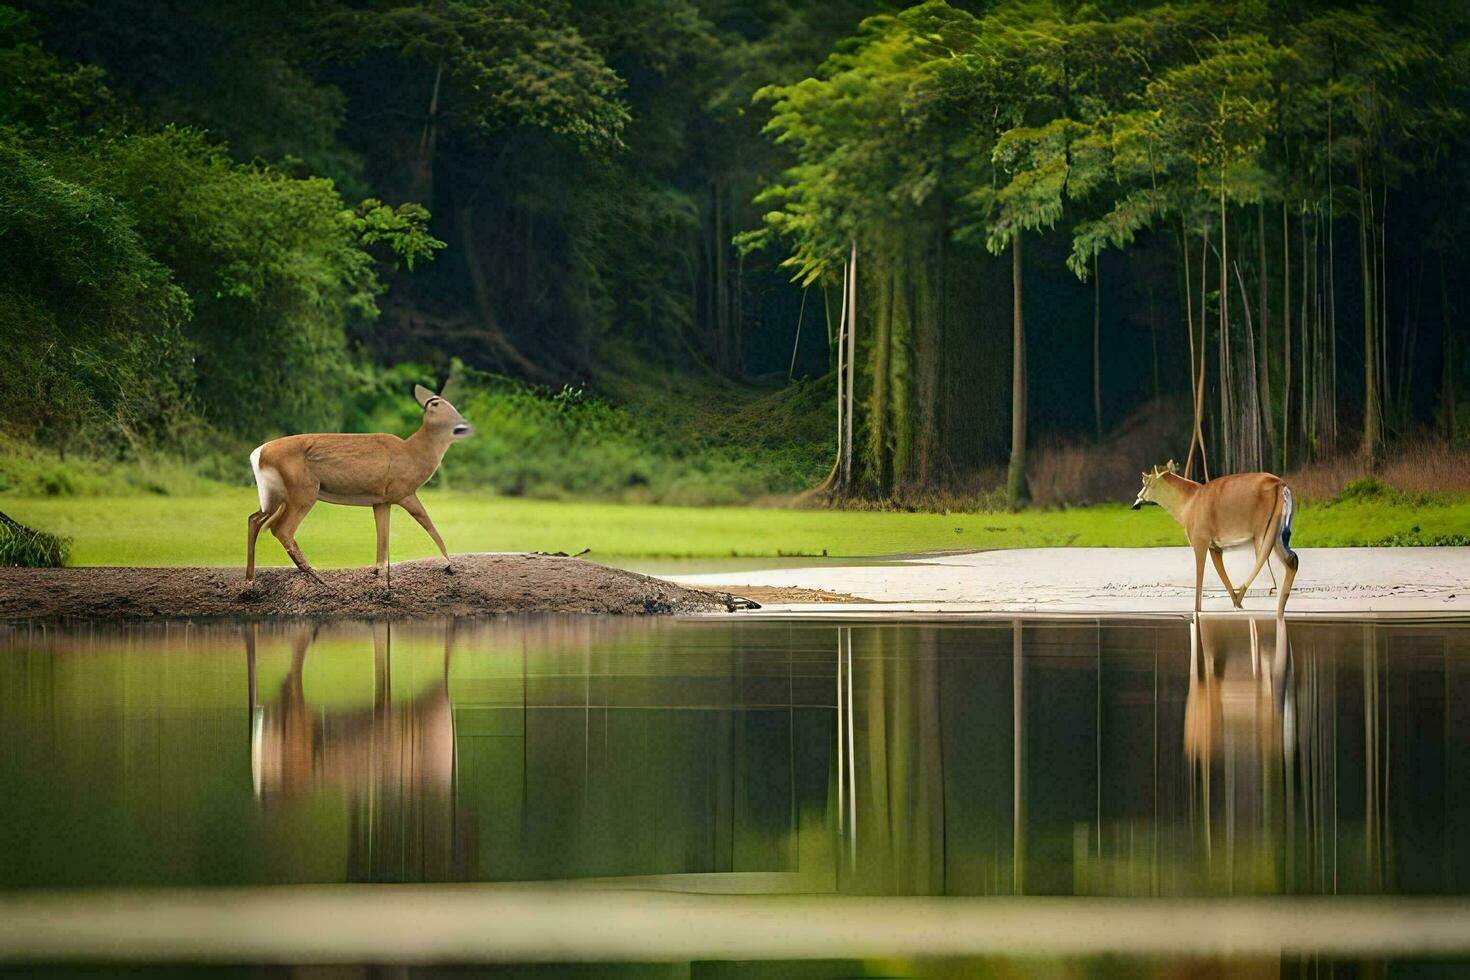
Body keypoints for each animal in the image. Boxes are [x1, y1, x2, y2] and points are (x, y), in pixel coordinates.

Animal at [246, 382, 473, 581]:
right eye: (436, 405)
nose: (466, 425)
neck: (414, 454)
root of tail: (258, 454)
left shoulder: (381, 499)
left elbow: (383, 536)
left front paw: (378, 571)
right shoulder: (402, 490)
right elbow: (426, 521)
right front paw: (449, 563)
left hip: (275, 493)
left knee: (255, 519)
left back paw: (250, 580)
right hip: (303, 489)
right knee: (281, 528)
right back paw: (314, 575)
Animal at [1128, 461, 1305, 617]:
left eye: (1145, 481)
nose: (1138, 496)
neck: (1188, 503)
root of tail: (1279, 484)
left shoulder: (1200, 542)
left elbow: (1200, 578)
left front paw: (1198, 610)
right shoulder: (1215, 547)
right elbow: (1223, 576)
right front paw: (1236, 603)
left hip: (1264, 531)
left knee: (1265, 561)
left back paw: (1246, 595)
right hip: (1277, 533)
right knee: (1291, 560)